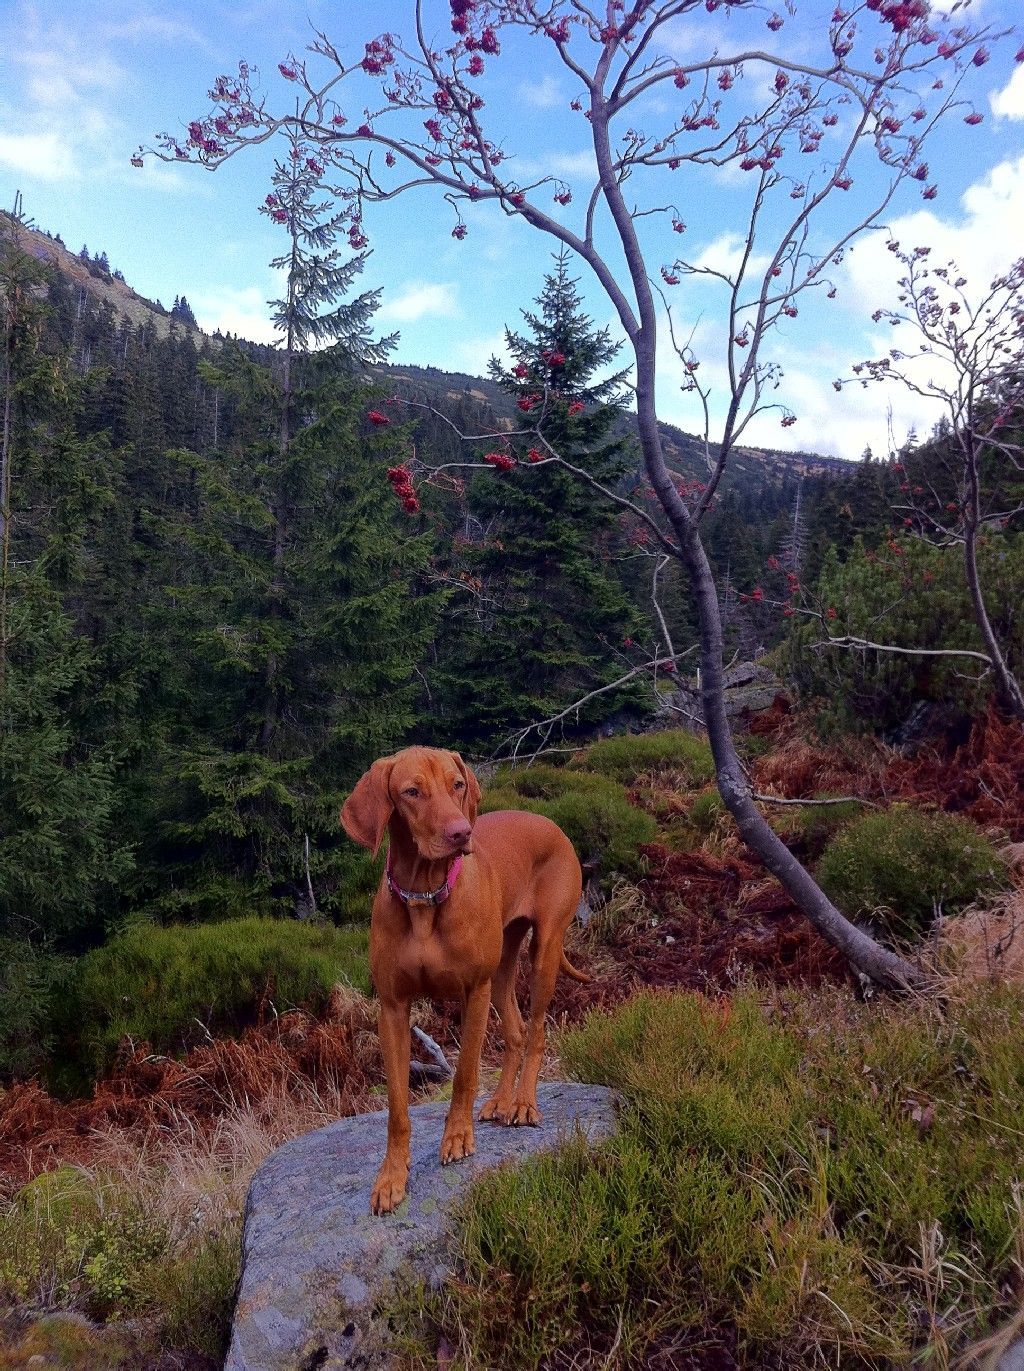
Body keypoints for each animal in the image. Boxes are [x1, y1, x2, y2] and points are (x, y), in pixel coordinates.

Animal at [342, 751, 589, 1211]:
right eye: (411, 791)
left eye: (457, 784)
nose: (461, 832)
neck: (424, 896)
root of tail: (550, 822)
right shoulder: (392, 1008)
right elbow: (397, 1105)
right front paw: (392, 1175)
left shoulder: (473, 992)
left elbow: (464, 1073)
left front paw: (457, 1137)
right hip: (503, 969)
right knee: (515, 1032)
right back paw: (503, 1101)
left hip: (544, 952)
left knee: (537, 1031)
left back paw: (524, 1103)